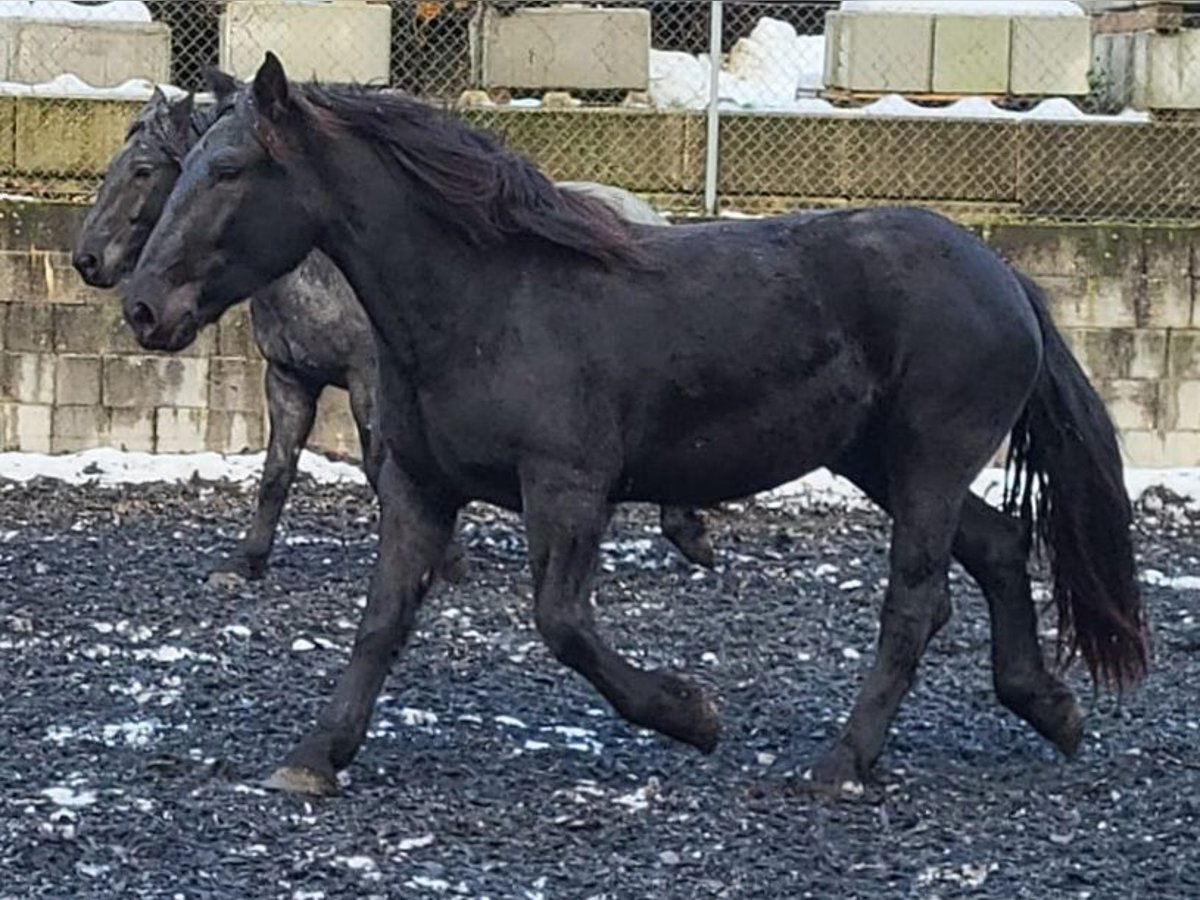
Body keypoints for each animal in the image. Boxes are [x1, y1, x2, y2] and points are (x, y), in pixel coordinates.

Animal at [75, 72, 715, 578]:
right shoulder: (289, 380)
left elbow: (379, 467)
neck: (318, 272)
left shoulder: (366, 381)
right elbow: (277, 471)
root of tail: (647, 216)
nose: (88, 260)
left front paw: (447, 558)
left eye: (143, 170)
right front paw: (248, 560)